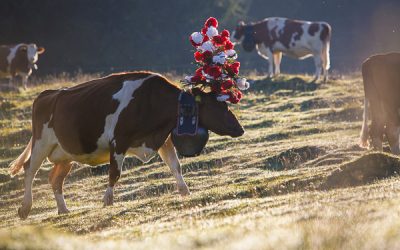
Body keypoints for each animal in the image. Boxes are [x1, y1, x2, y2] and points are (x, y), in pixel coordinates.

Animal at [9, 71, 245, 219]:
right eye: (219, 106)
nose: (240, 129)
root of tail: (48, 94)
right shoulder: (119, 140)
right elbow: (115, 173)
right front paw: (107, 200)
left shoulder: (162, 139)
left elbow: (175, 166)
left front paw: (185, 191)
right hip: (41, 143)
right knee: (30, 170)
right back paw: (25, 208)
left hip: (66, 153)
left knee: (55, 179)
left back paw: (63, 210)